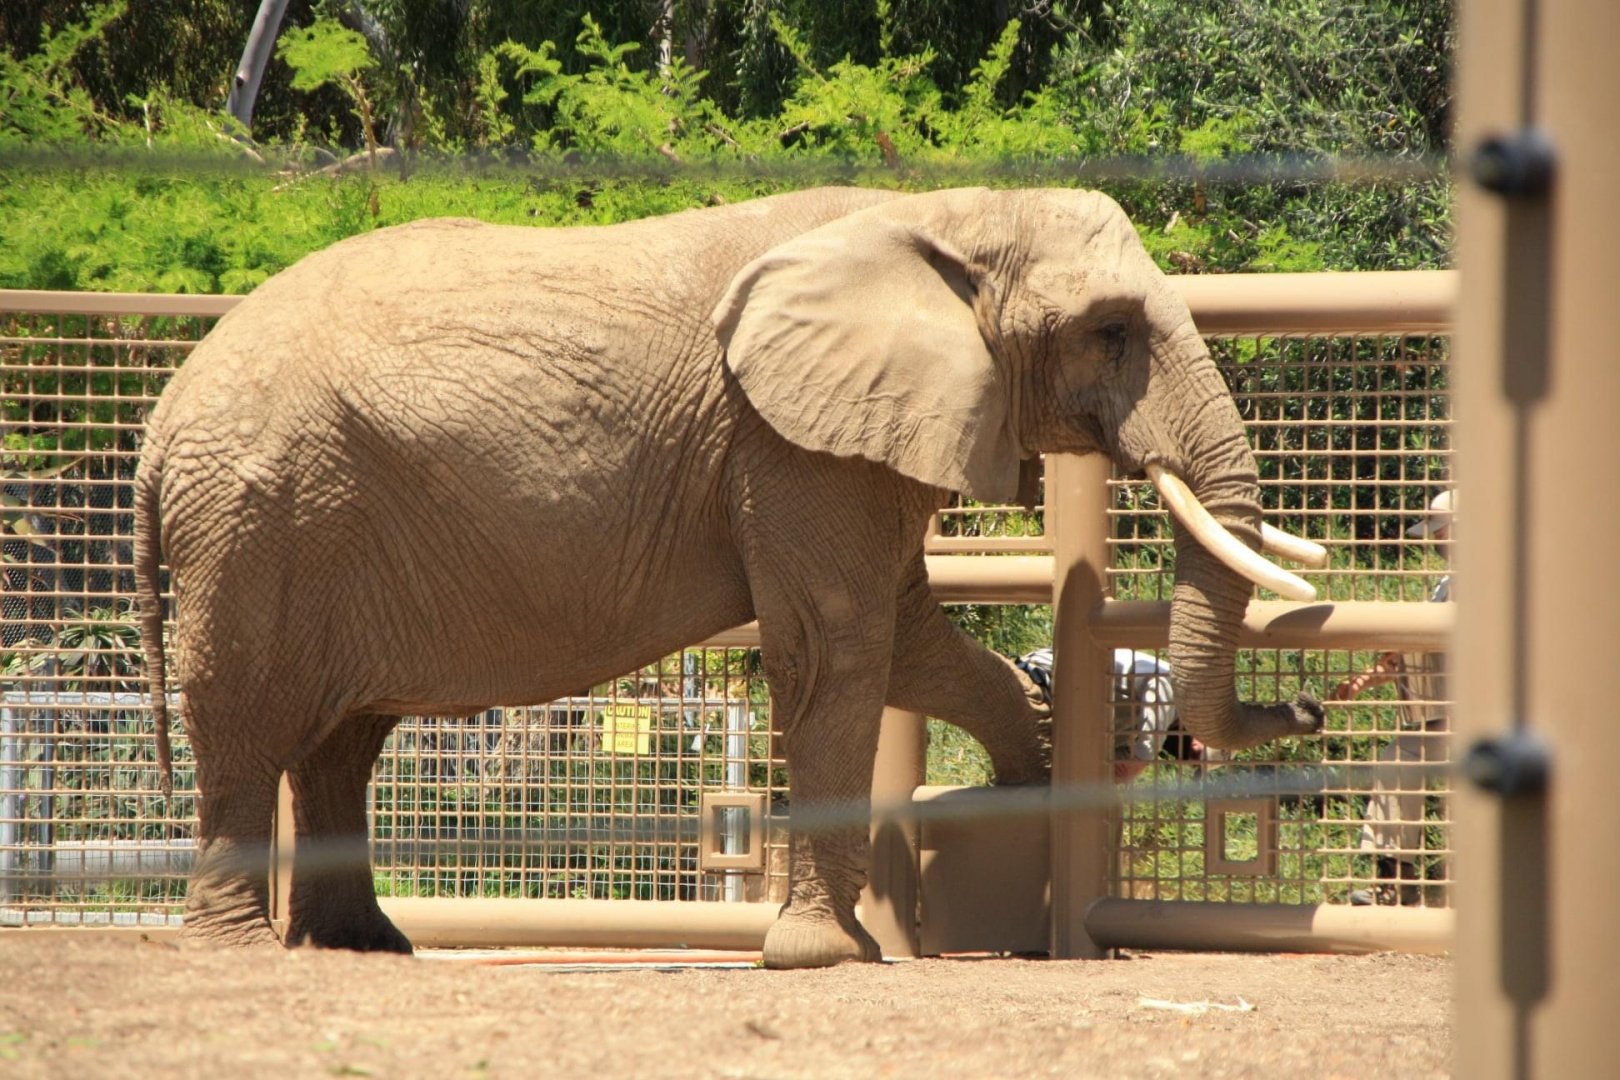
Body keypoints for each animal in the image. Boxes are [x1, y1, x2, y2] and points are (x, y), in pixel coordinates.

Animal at [133, 186, 1324, 968]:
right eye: (1111, 331)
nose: (1309, 706)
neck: (944, 211)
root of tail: (159, 424)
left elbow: (909, 639)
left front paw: (1022, 785)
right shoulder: (790, 441)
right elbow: (841, 645)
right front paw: (824, 959)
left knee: (344, 737)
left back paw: (364, 946)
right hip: (261, 517)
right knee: (248, 721)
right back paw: (242, 950)